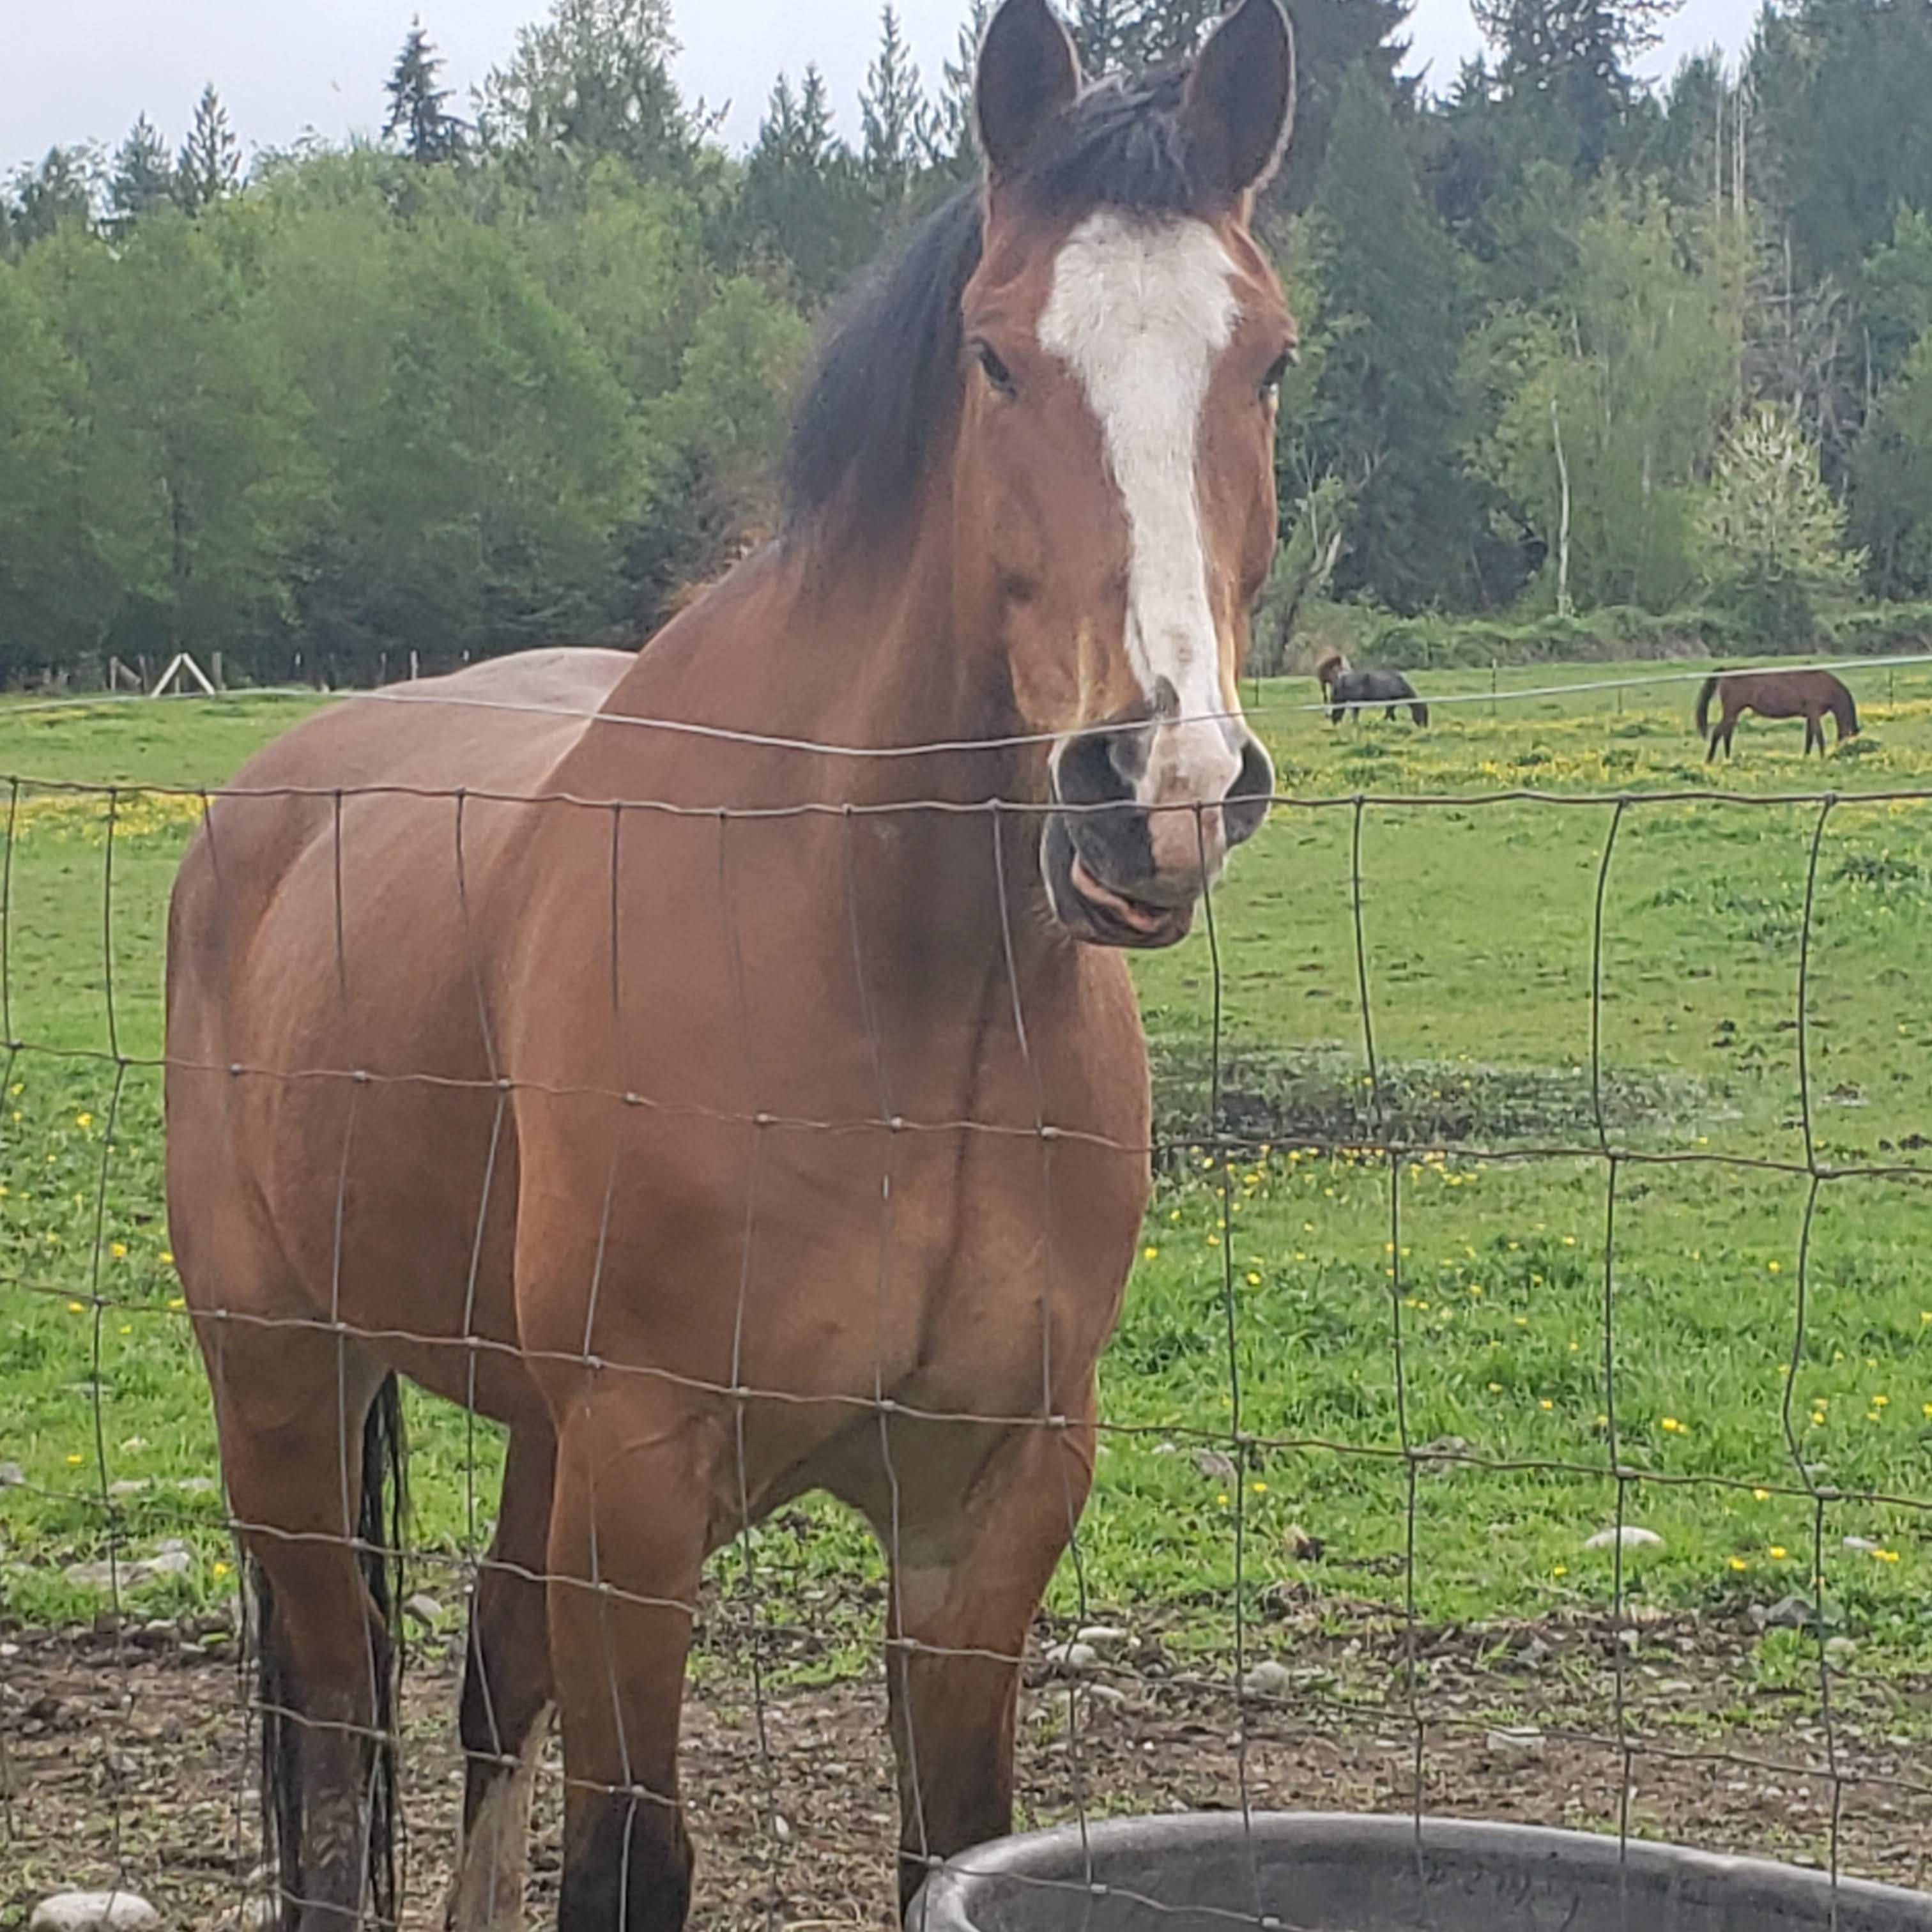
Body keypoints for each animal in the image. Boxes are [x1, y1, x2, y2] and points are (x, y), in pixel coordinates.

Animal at [161, 3, 1297, 1927]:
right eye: (996, 359)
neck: (895, 988)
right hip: (286, 1391)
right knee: (334, 1736)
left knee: (484, 1694)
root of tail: (260, 803)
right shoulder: (641, 1479)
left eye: (1270, 362)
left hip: (524, 1436)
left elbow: (949, 1840)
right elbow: (632, 1857)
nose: (1159, 788)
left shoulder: (987, 1501)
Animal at [1325, 666, 1428, 726]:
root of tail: (1340, 679)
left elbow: (1391, 713)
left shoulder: (1391, 702)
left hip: (1342, 701)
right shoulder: (1392, 700)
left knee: (1339, 713)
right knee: (1350, 714)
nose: (1424, 726)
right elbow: (1389, 713)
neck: (1401, 684)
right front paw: (1384, 721)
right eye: (1422, 712)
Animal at [1695, 667, 1859, 760]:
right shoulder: (1814, 713)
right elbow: (1819, 737)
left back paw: (1728, 759)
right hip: (1731, 711)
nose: (1838, 753)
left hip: (1733, 713)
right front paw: (1823, 757)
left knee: (1726, 733)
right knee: (1719, 732)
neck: (1825, 685)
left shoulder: (1810, 716)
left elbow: (1809, 738)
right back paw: (1710, 760)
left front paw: (1806, 758)